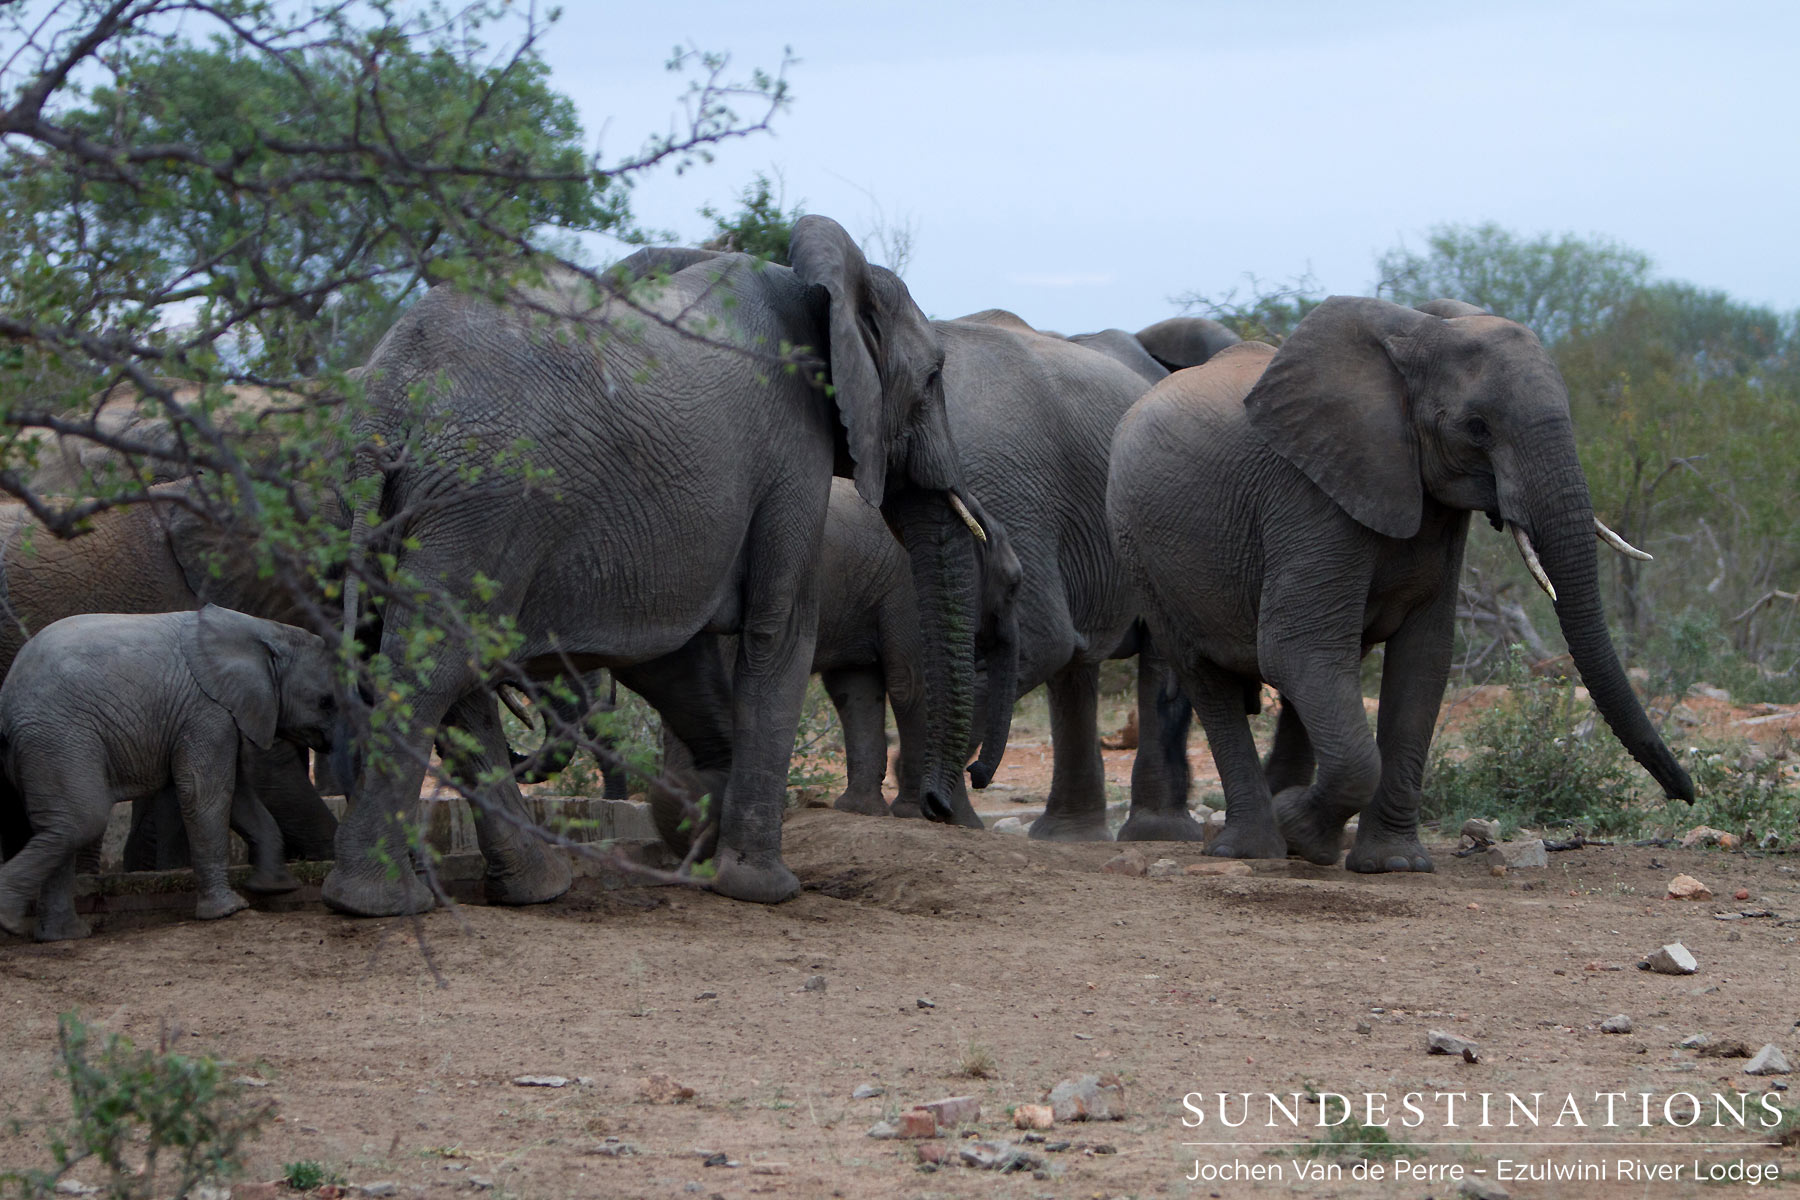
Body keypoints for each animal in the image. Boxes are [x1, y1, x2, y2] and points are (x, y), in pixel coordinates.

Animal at [0, 606, 339, 939]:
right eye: (326, 702)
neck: (263, 629)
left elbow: (237, 797)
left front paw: (275, 888)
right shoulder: (206, 711)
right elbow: (207, 793)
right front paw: (230, 910)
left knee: (63, 825)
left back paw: (65, 935)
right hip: (58, 737)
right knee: (83, 819)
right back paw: (9, 921)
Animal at [328, 214, 988, 913]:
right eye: (935, 377)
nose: (942, 806)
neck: (818, 286)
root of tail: (387, 393)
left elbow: (677, 656)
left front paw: (700, 831)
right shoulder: (792, 454)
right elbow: (780, 632)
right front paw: (763, 889)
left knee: (436, 670)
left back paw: (526, 887)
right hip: (485, 500)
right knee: (432, 667)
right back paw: (379, 901)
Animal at [1106, 295, 1694, 872]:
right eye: (1477, 427)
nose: (1685, 794)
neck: (1419, 332)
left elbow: (1423, 659)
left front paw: (1392, 863)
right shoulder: (1307, 495)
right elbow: (1297, 648)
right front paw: (1300, 825)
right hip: (1141, 552)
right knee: (1209, 678)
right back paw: (1255, 848)